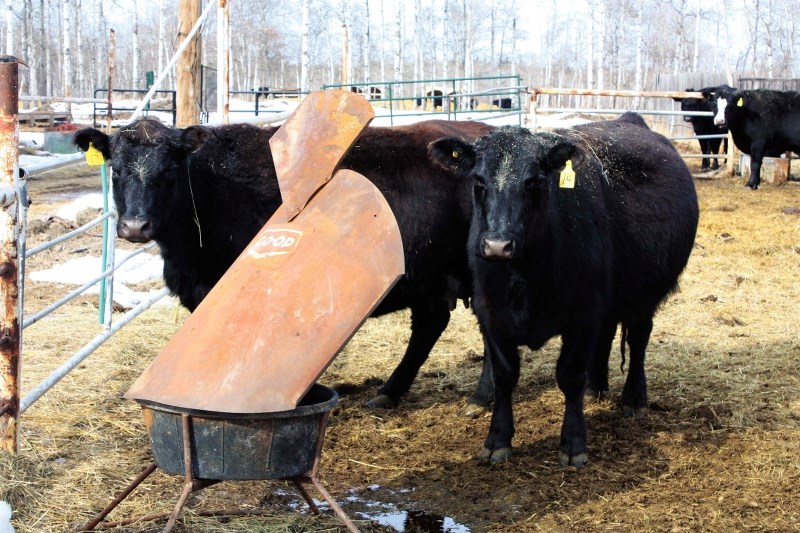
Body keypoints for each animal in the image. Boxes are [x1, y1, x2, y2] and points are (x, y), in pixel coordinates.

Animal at [76, 118, 500, 410]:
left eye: (168, 170)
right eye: (116, 170)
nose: (135, 226)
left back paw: (481, 397)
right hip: (429, 278)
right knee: (430, 324)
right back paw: (389, 393)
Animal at [428, 113, 696, 466]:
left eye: (533, 182)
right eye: (479, 183)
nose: (498, 245)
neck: (524, 279)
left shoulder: (581, 316)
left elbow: (569, 376)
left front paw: (573, 444)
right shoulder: (491, 313)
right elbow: (504, 376)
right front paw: (497, 439)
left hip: (644, 295)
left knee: (638, 340)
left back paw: (634, 398)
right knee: (608, 333)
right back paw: (596, 387)